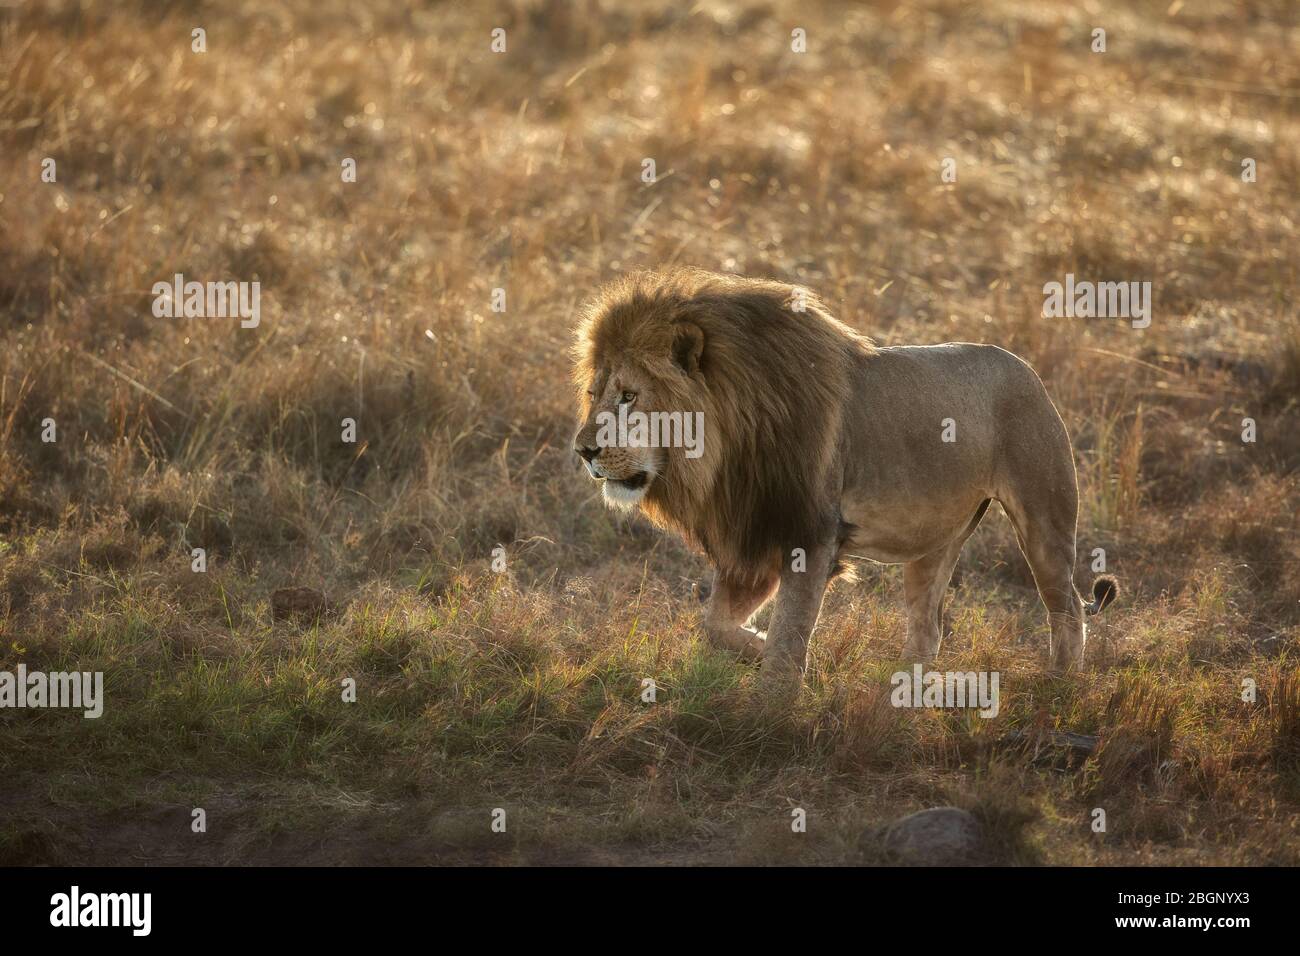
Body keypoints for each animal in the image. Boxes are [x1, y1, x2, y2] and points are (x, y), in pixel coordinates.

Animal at [572, 269, 1117, 687]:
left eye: (629, 396)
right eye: (595, 394)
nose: (583, 451)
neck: (726, 444)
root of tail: (1026, 368)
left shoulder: (809, 535)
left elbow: (789, 637)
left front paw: (771, 713)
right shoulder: (755, 533)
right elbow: (717, 627)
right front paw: (760, 651)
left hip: (1044, 517)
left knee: (1067, 606)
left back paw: (1059, 687)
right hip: (935, 544)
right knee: (928, 628)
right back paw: (900, 700)